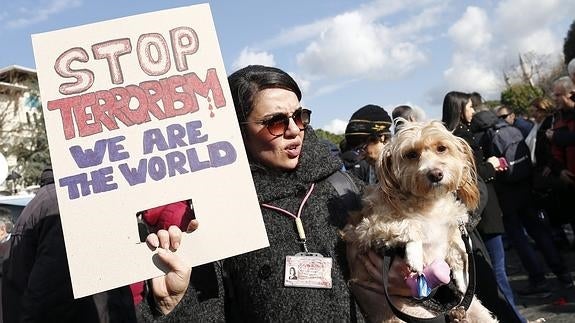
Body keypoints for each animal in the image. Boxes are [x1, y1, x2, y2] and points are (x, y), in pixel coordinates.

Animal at [344, 121, 498, 323]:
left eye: (441, 148)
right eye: (411, 154)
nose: (436, 174)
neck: (430, 205)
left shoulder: (454, 228)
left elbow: (457, 250)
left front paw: (463, 279)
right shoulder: (367, 227)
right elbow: (410, 224)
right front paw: (415, 255)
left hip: (476, 311)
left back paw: (459, 315)